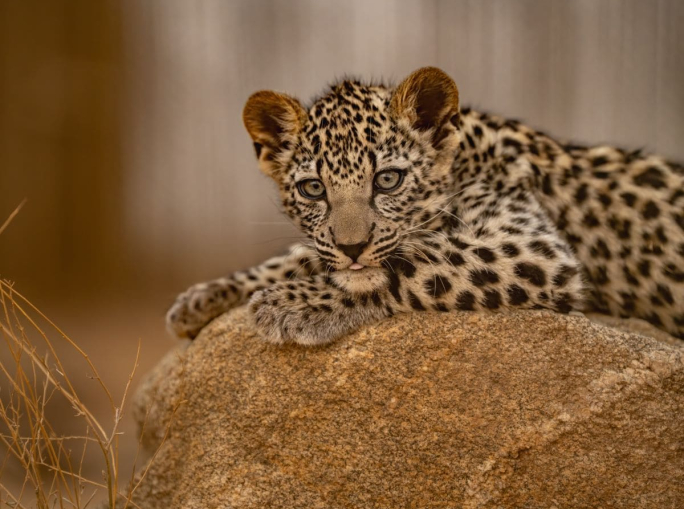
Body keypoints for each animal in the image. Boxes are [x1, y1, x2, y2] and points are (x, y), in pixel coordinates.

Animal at [166, 66, 684, 345]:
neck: (468, 154)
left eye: (387, 180)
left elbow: (416, 263)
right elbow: (302, 255)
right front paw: (204, 297)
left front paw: (292, 303)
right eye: (314, 189)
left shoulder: (532, 248)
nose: (352, 248)